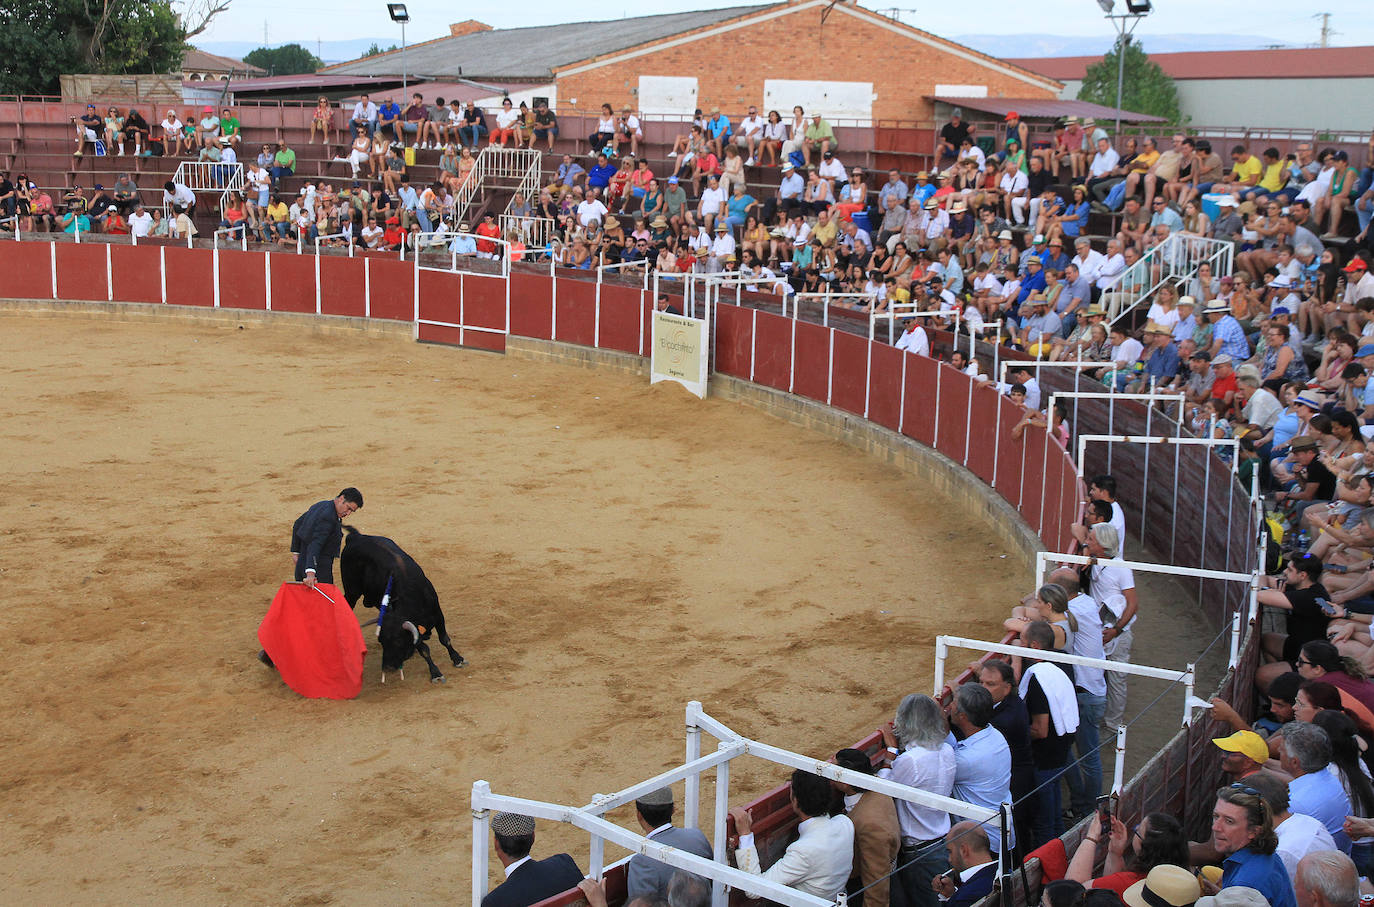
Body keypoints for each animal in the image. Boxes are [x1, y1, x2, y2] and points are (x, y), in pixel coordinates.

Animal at [340, 527, 469, 684]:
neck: (412, 596)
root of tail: (356, 537)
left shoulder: (438, 615)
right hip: (352, 591)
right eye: (381, 642)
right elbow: (424, 649)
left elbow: (445, 639)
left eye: (398, 642)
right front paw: (435, 673)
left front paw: (457, 659)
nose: (388, 668)